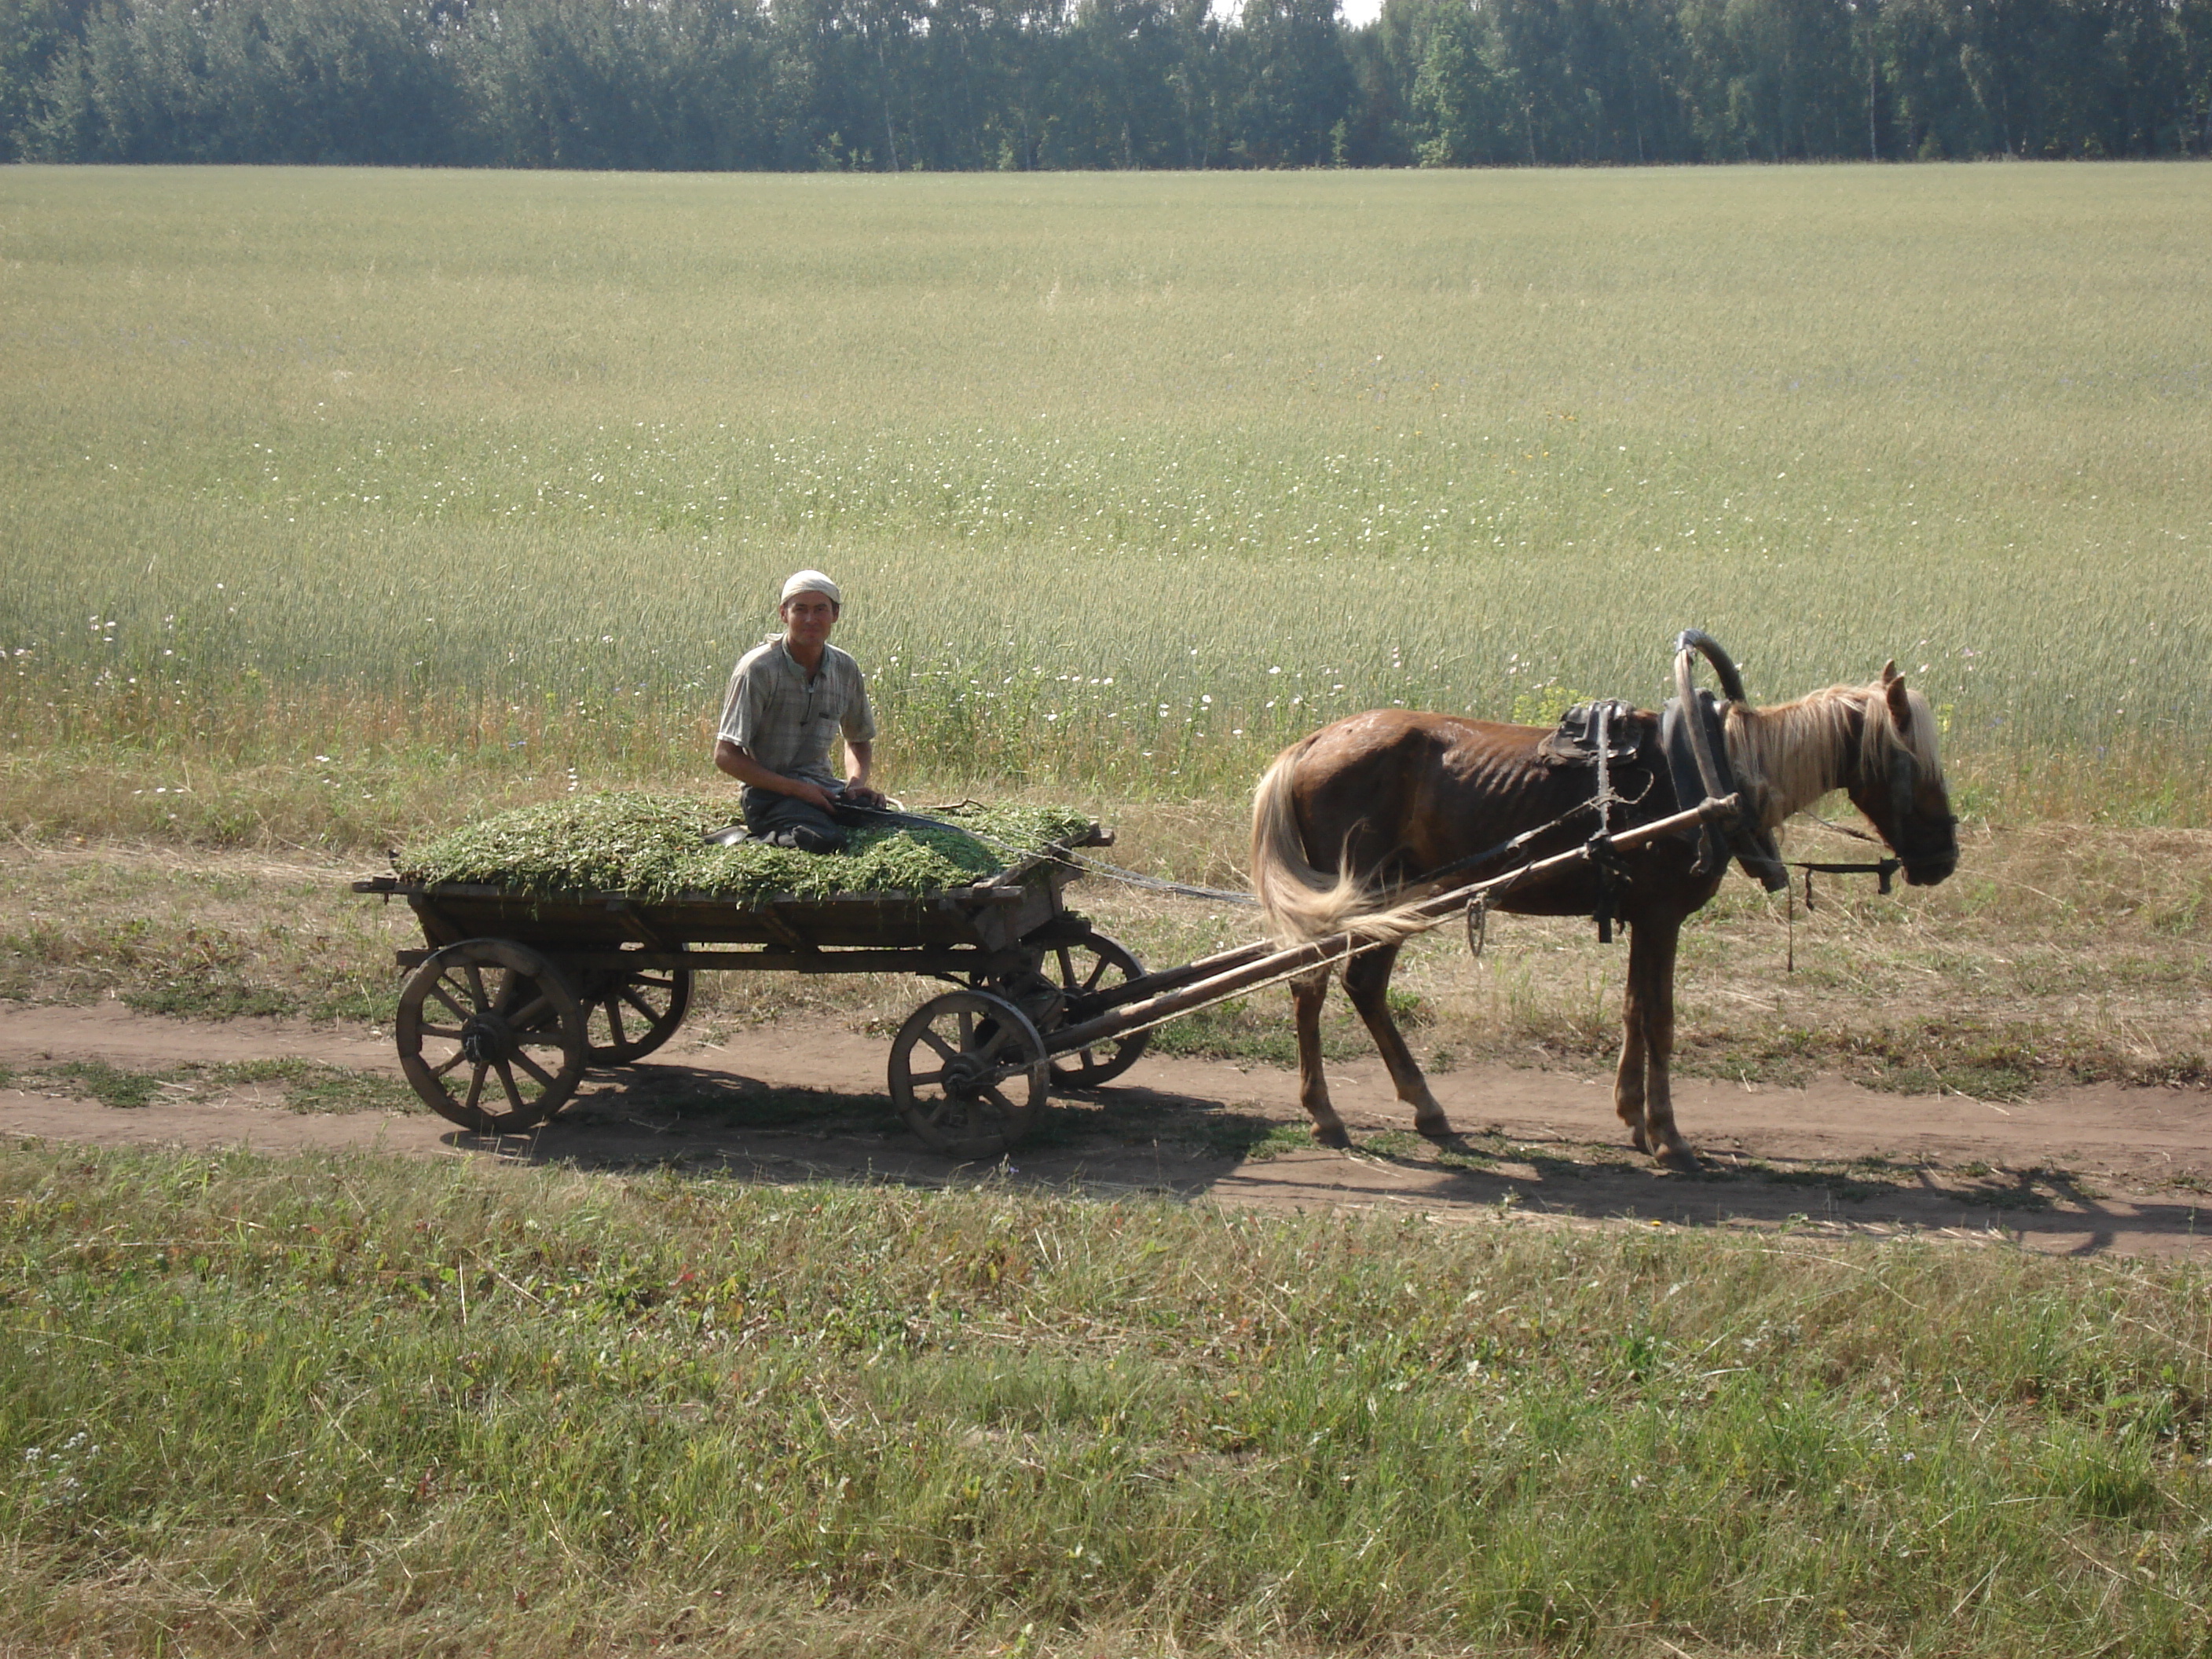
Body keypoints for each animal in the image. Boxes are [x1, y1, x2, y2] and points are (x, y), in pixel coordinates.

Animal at [1256, 668, 1964, 1167]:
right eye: (1910, 762)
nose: (1944, 857)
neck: (1710, 775)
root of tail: (1312, 743)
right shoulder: (1662, 916)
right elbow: (1660, 1019)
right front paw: (1670, 1137)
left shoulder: (1643, 918)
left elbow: (1633, 1009)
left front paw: (1632, 1115)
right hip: (1361, 894)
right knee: (1313, 986)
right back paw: (1325, 1113)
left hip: (1393, 896)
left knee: (1362, 986)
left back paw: (1425, 1108)